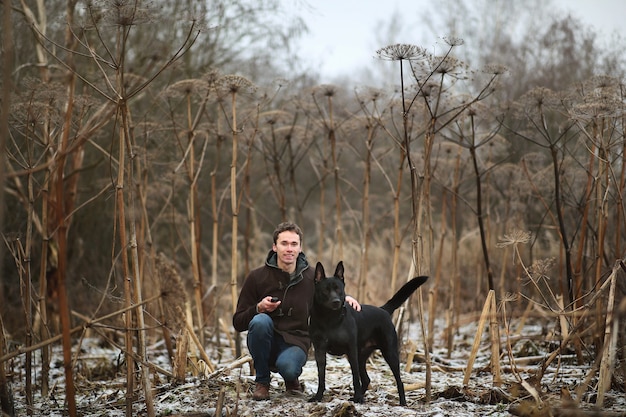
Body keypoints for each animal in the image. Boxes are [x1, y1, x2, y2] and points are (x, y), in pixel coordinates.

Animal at [308, 262, 426, 404]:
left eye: (339, 289)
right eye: (325, 290)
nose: (336, 301)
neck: (330, 319)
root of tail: (383, 310)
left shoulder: (351, 351)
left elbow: (355, 378)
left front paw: (358, 397)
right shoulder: (319, 351)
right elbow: (321, 377)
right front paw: (318, 397)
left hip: (389, 353)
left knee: (399, 380)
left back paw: (401, 402)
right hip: (362, 356)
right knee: (366, 379)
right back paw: (357, 397)